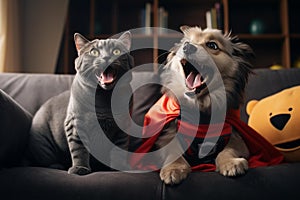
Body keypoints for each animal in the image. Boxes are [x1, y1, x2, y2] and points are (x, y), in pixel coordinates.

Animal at [26, 31, 134, 175]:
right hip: (42, 142)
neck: (104, 100)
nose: (106, 57)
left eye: (116, 51)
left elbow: (119, 151)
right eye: (94, 52)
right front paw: (79, 169)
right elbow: (79, 149)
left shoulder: (122, 127)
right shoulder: (75, 123)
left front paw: (119, 168)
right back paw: (58, 166)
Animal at [156, 26, 254, 184]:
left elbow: (228, 150)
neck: (201, 110)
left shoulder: (237, 139)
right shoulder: (166, 136)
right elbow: (173, 152)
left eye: (212, 45)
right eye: (186, 43)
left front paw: (230, 163)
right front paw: (174, 169)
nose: (187, 47)